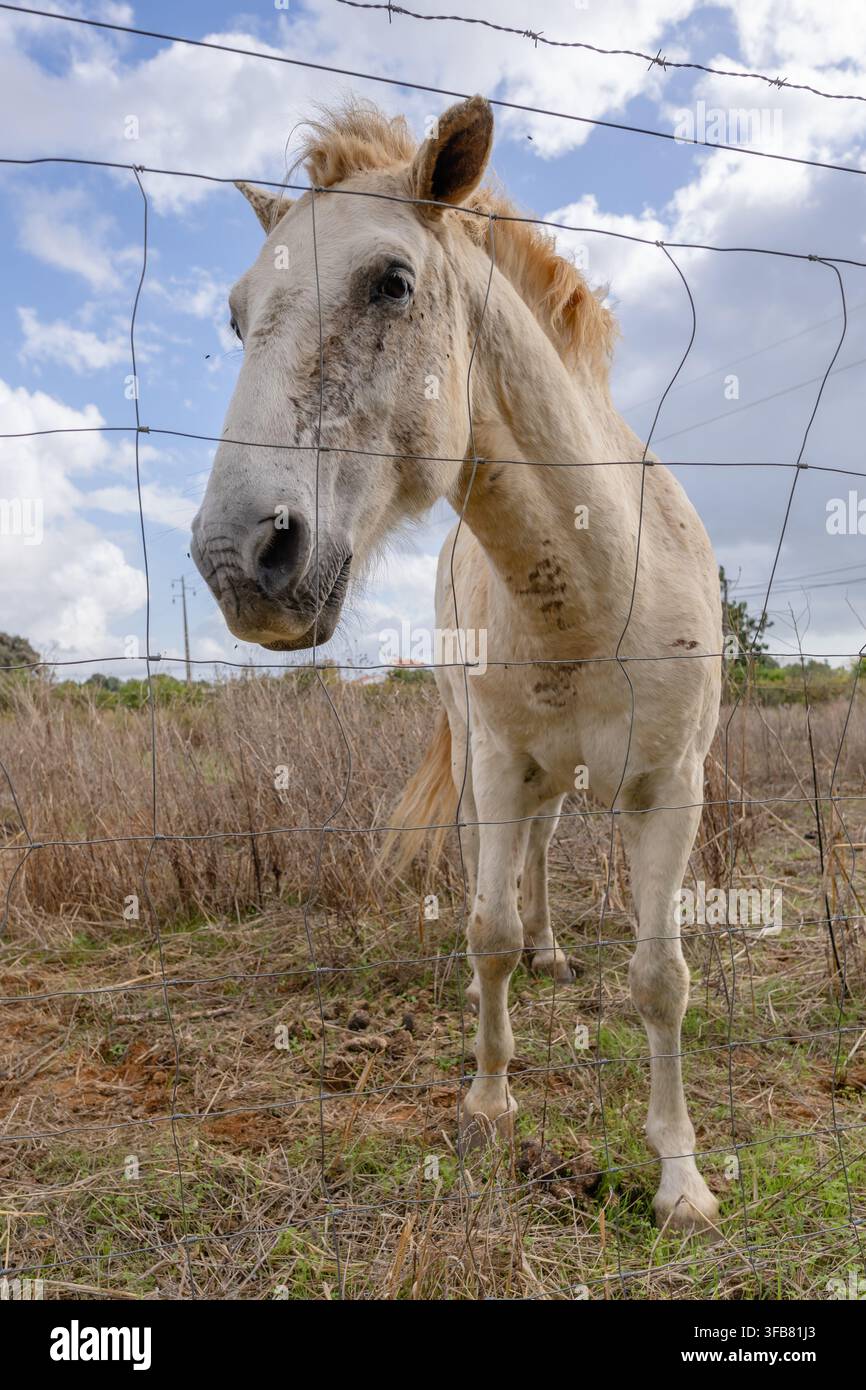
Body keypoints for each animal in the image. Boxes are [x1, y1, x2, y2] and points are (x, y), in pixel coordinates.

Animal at [191, 94, 723, 1232]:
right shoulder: (495, 764)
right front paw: (487, 1104)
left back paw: (556, 951)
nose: (237, 561)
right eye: (237, 314)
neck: (594, 585)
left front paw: (681, 1179)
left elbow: (661, 976)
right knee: (520, 863)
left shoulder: (673, 787)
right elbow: (486, 930)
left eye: (390, 281)